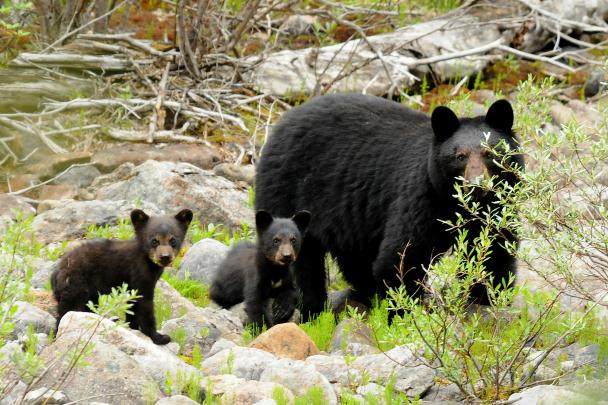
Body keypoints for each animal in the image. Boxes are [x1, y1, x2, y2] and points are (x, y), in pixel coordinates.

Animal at [52, 208, 191, 344]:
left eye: (173, 240)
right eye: (154, 241)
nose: (165, 256)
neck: (148, 262)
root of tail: (58, 270)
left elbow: (133, 305)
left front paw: (133, 326)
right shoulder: (139, 273)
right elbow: (145, 306)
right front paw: (159, 337)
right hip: (76, 285)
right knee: (68, 310)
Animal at [254, 93, 524, 318]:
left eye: (491, 153)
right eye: (459, 157)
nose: (478, 186)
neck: (457, 206)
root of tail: (281, 122)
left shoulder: (498, 210)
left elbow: (493, 254)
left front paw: (486, 301)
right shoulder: (422, 200)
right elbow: (402, 257)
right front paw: (403, 316)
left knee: (354, 258)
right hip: (287, 191)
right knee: (303, 262)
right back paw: (311, 311)